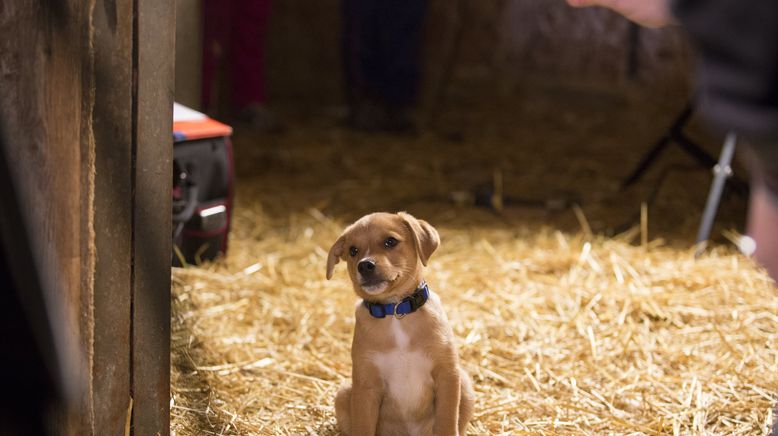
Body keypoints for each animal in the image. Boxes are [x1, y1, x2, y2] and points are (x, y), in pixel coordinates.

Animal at [322, 212, 470, 436]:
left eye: (390, 241)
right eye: (353, 251)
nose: (364, 265)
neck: (395, 311)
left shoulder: (448, 374)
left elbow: (446, 423)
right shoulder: (366, 385)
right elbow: (363, 427)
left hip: (465, 384)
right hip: (344, 392)